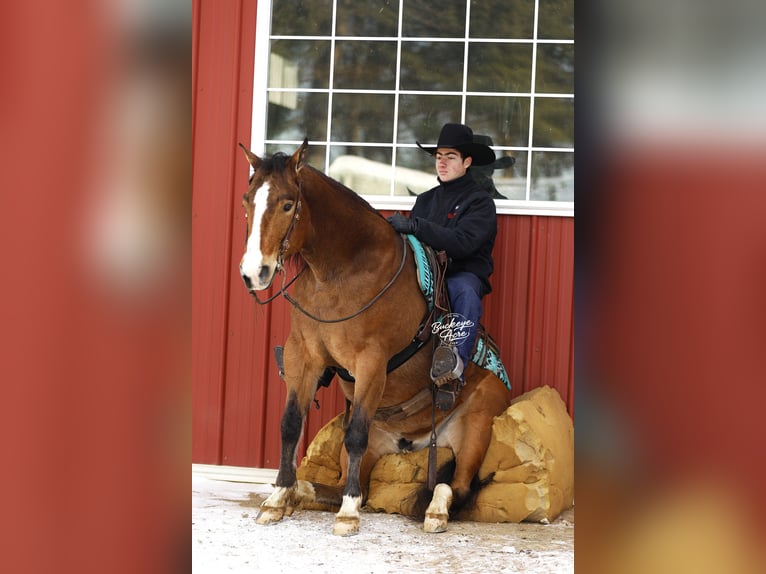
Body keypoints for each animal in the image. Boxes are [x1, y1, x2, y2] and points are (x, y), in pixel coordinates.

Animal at [238, 140, 512, 536]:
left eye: (288, 203)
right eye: (247, 200)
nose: (253, 273)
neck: (342, 271)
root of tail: (416, 442)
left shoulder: (370, 362)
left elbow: (355, 434)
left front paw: (349, 514)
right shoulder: (302, 355)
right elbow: (290, 424)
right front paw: (276, 498)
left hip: (475, 429)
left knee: (454, 487)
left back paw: (435, 511)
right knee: (351, 484)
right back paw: (299, 493)